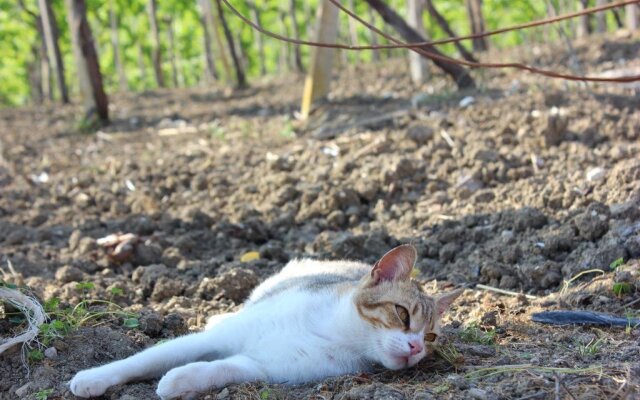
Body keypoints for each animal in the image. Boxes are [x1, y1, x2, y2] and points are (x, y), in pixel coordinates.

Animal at [69, 244, 460, 400]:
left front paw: (181, 380)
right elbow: (144, 358)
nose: (416, 348)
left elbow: (221, 368)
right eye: (403, 314)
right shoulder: (209, 340)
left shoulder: (267, 366)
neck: (333, 330)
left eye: (432, 337)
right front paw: (93, 378)